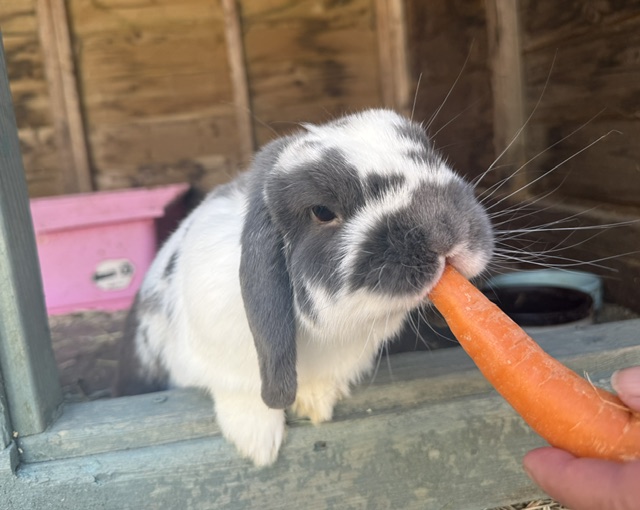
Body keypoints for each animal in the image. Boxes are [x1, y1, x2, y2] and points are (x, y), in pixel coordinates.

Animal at [113, 108, 494, 466]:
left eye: (430, 156)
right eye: (322, 211)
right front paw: (257, 444)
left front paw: (316, 403)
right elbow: (240, 389)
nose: (444, 231)